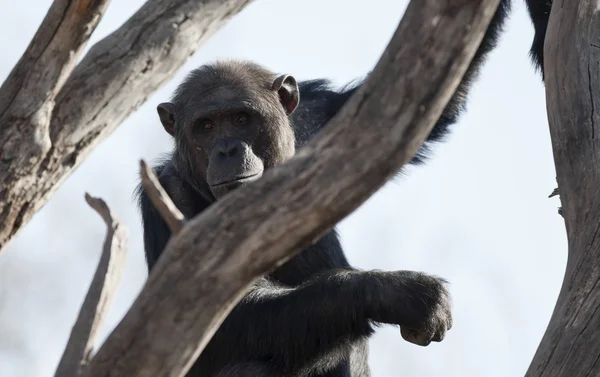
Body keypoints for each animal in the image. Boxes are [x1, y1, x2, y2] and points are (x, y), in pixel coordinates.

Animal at [137, 1, 552, 374]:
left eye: (242, 118)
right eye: (206, 126)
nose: (227, 149)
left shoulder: (318, 117)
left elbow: (426, 107)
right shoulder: (169, 194)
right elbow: (212, 317)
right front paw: (399, 293)